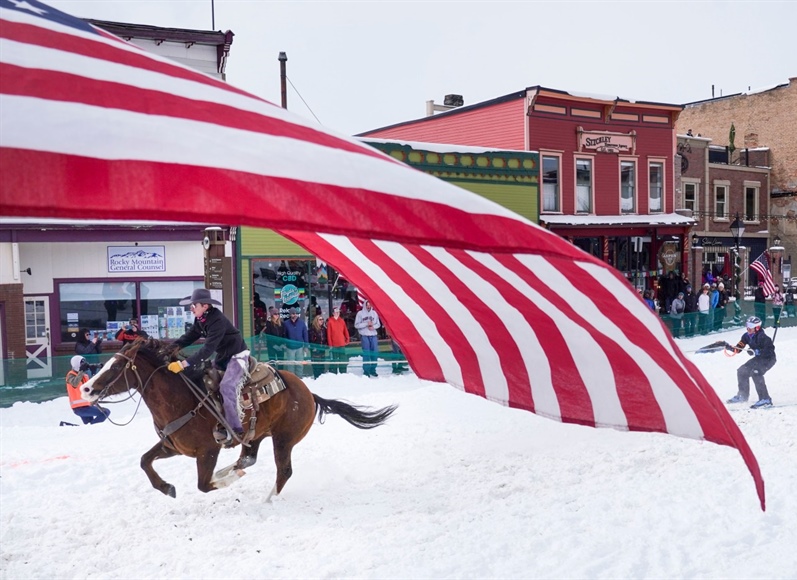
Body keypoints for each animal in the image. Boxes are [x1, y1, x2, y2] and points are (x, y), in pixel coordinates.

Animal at [79, 340, 396, 498]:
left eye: (116, 367)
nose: (86, 388)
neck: (181, 399)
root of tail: (309, 393)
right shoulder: (173, 446)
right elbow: (144, 461)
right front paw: (167, 488)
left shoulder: (207, 451)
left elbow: (203, 484)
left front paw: (225, 482)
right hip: (254, 436)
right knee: (247, 459)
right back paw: (232, 471)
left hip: (284, 439)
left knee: (284, 472)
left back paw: (268, 499)